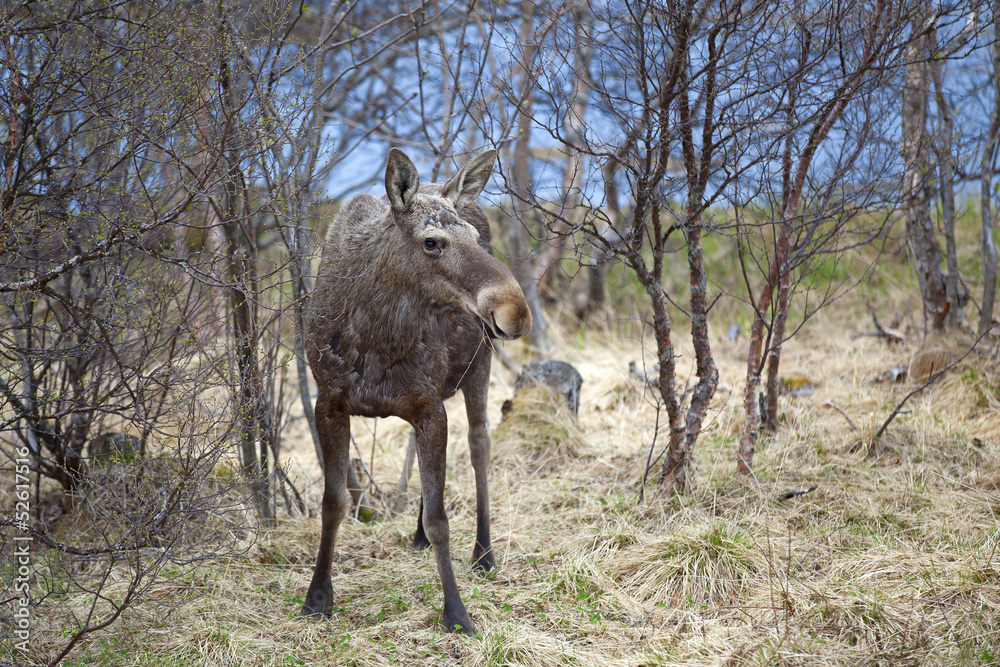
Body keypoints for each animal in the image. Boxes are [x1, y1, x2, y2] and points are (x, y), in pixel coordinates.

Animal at [301, 148, 532, 635]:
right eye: (431, 242)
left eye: (472, 236)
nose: (515, 310)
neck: (376, 335)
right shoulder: (328, 402)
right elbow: (334, 502)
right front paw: (317, 597)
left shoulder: (428, 408)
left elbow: (441, 515)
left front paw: (457, 612)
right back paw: (420, 537)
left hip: (478, 367)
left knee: (480, 445)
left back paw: (484, 552)